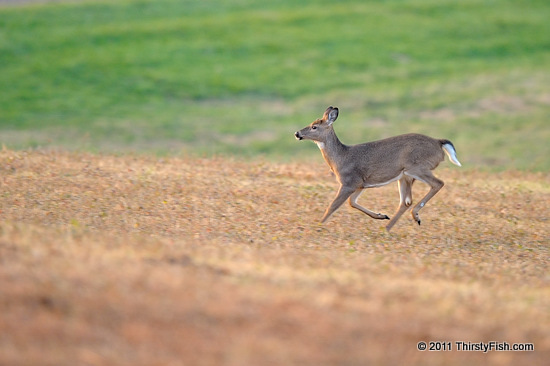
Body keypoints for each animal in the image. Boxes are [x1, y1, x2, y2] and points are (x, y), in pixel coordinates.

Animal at [296, 106, 464, 232]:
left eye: (314, 127)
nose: (297, 133)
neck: (341, 158)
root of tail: (439, 142)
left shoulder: (349, 181)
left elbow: (333, 206)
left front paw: (317, 227)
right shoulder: (360, 183)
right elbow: (352, 202)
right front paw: (381, 215)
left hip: (417, 167)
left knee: (437, 183)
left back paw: (413, 216)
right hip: (405, 176)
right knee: (406, 201)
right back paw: (388, 227)